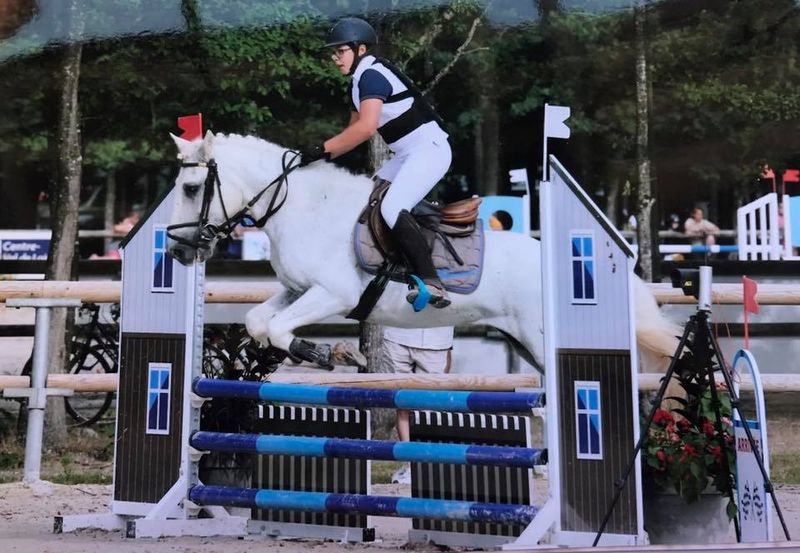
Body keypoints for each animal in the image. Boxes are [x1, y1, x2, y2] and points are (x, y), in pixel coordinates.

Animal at [166, 131, 679, 371]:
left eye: (191, 189)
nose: (177, 253)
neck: (302, 206)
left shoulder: (333, 295)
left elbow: (275, 329)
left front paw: (326, 354)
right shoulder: (296, 290)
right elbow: (259, 321)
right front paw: (317, 352)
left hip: (542, 339)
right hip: (527, 343)